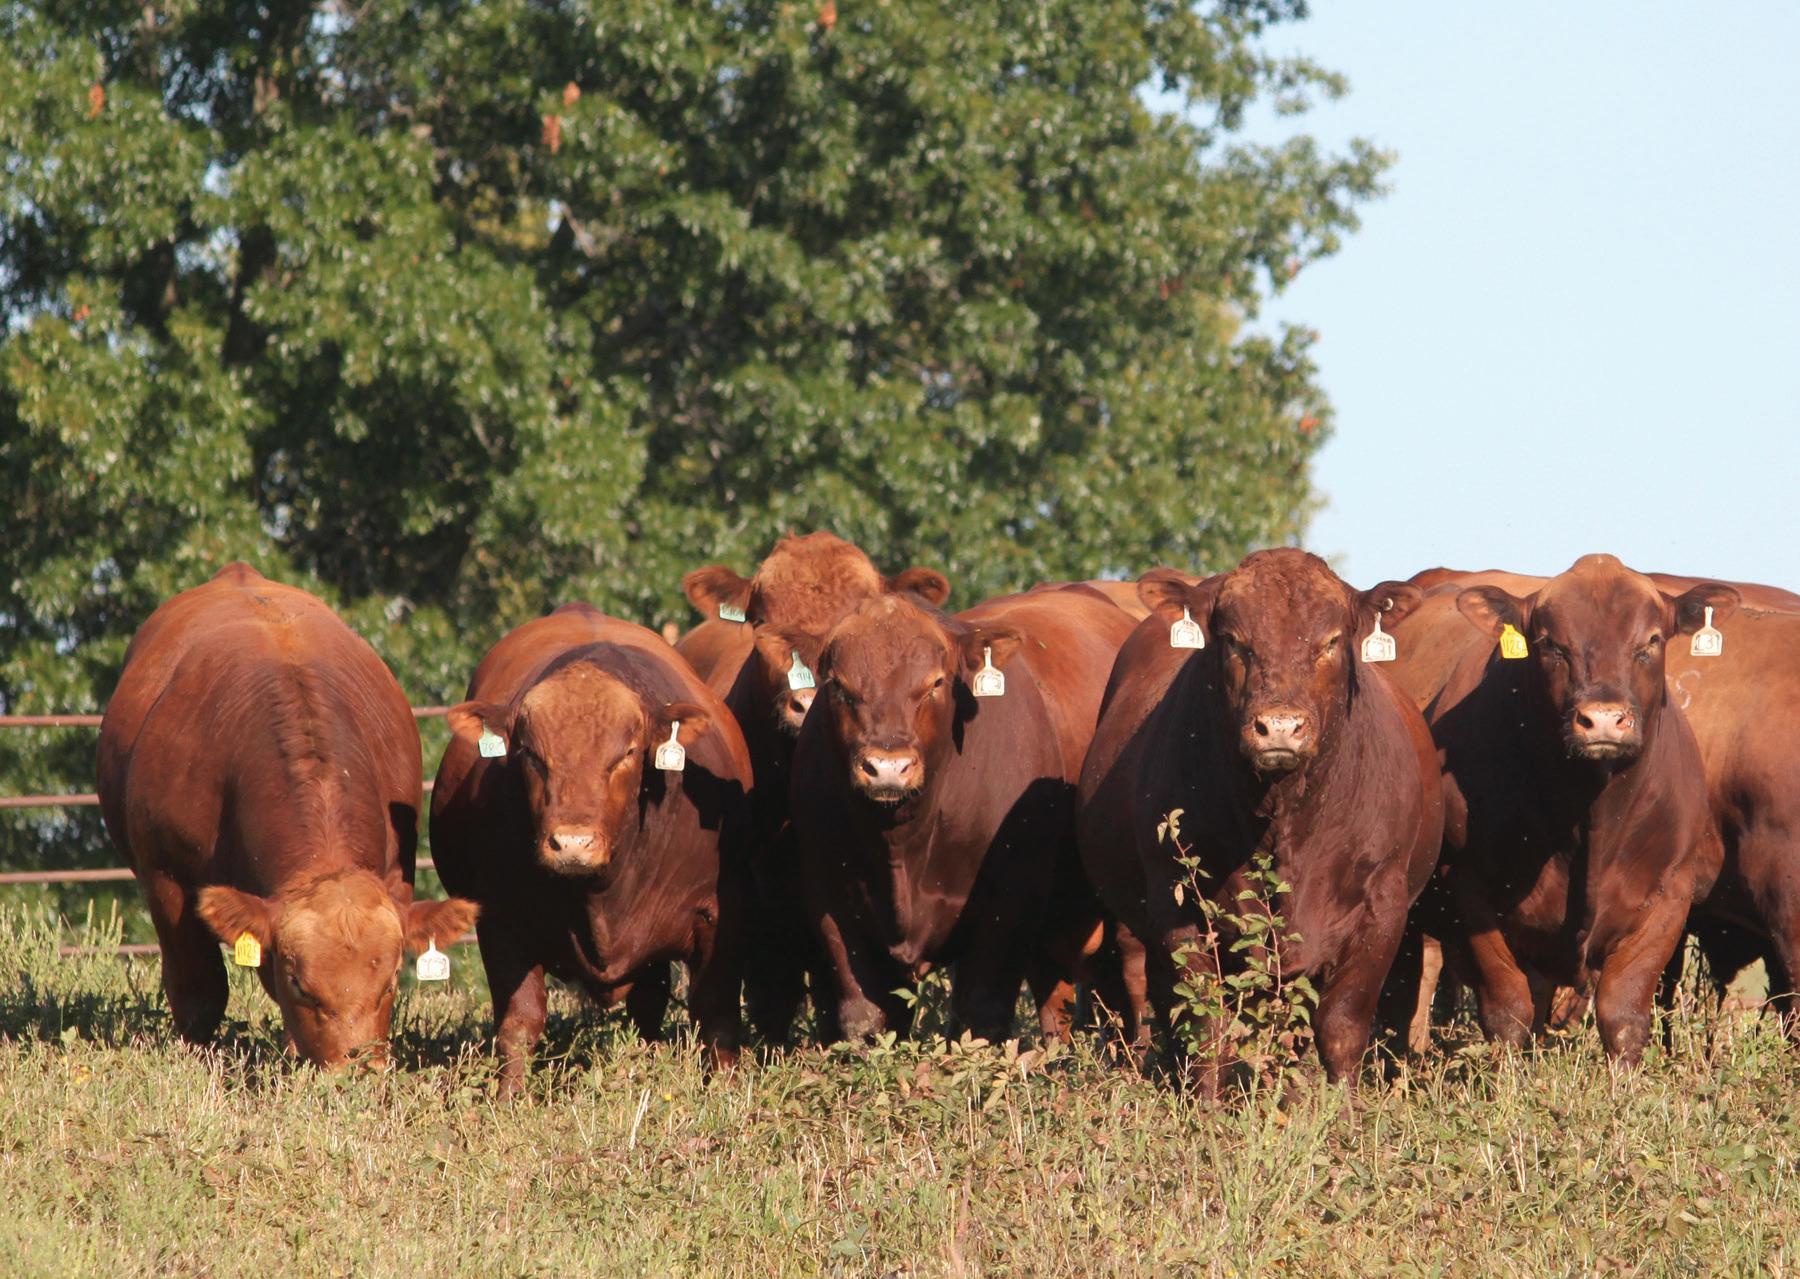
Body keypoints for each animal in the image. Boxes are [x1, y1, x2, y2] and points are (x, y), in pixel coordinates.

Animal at [96, 564, 477, 1069]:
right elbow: (199, 990)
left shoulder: (399, 870)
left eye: (392, 980)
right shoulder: (165, 876)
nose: (356, 1070)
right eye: (300, 983)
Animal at [429, 603, 752, 1094]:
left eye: (628, 752)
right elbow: (519, 1021)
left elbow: (715, 1014)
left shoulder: (717, 918)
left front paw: (725, 1091)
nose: (572, 843)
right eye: (530, 753)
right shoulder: (501, 924)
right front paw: (509, 1097)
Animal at [784, 583, 1136, 1043]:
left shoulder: (1009, 901)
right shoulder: (830, 898)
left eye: (935, 682)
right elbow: (864, 1017)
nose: (888, 766)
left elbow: (978, 1015)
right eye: (838, 686)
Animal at [1077, 549, 1442, 1090]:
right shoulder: (1177, 903)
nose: (1281, 727)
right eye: (1234, 641)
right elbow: (1207, 1026)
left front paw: (1345, 1109)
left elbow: (1342, 1026)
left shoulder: (1383, 906)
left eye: (1332, 641)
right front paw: (1207, 1106)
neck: (1284, 820)